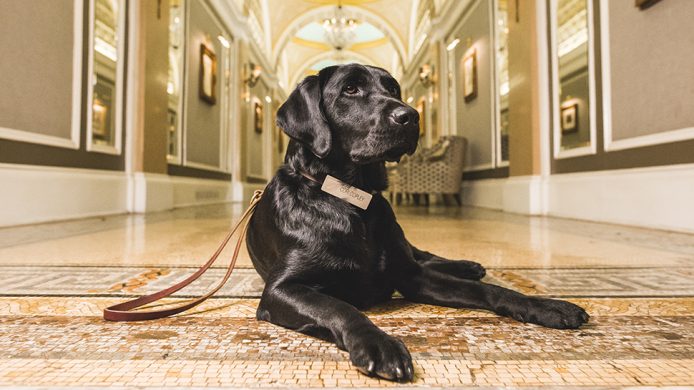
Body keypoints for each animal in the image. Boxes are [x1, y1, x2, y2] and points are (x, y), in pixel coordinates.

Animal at [247, 63, 588, 380]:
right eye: (350, 89)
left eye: (393, 89)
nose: (410, 116)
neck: (351, 200)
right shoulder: (283, 288)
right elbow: (340, 307)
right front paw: (378, 343)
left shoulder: (411, 275)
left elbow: (487, 290)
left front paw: (545, 305)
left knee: (425, 255)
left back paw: (467, 265)